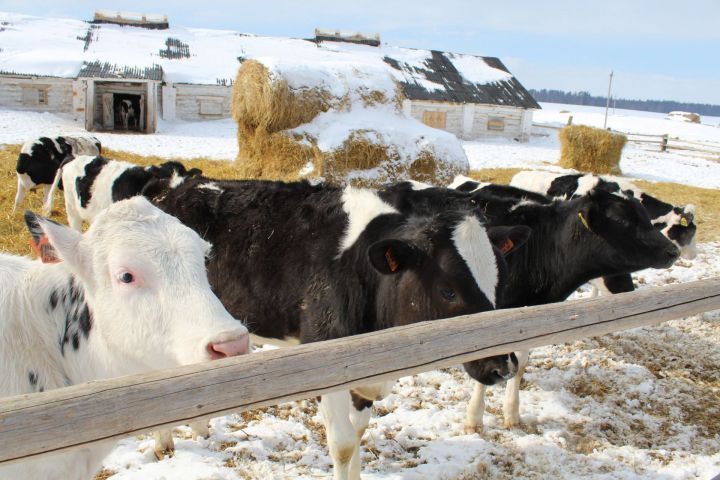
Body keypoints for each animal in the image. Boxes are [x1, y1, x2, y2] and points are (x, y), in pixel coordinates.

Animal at [145, 176, 528, 480]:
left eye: (501, 280)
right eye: (448, 290)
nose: (504, 364)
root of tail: (177, 185)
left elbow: (357, 435)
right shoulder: (324, 366)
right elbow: (343, 445)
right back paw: (165, 442)